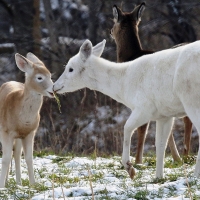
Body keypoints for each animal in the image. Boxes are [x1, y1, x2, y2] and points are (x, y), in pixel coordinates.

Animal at [0, 53, 53, 188]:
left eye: (50, 75)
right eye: (39, 77)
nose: (53, 90)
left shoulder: (30, 133)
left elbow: (29, 158)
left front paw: (33, 184)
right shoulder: (6, 131)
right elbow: (5, 158)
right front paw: (1, 186)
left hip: (19, 137)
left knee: (17, 154)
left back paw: (17, 182)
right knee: (9, 154)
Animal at [53, 39, 200, 179]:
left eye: (70, 69)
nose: (55, 86)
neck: (123, 85)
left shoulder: (144, 107)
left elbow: (127, 128)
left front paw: (130, 168)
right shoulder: (164, 114)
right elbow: (160, 144)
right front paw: (158, 177)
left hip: (191, 99)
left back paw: (195, 174)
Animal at [110, 1, 193, 164]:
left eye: (114, 21)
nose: (110, 31)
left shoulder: (142, 100)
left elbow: (142, 129)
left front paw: (138, 161)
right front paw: (175, 158)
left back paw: (187, 155)